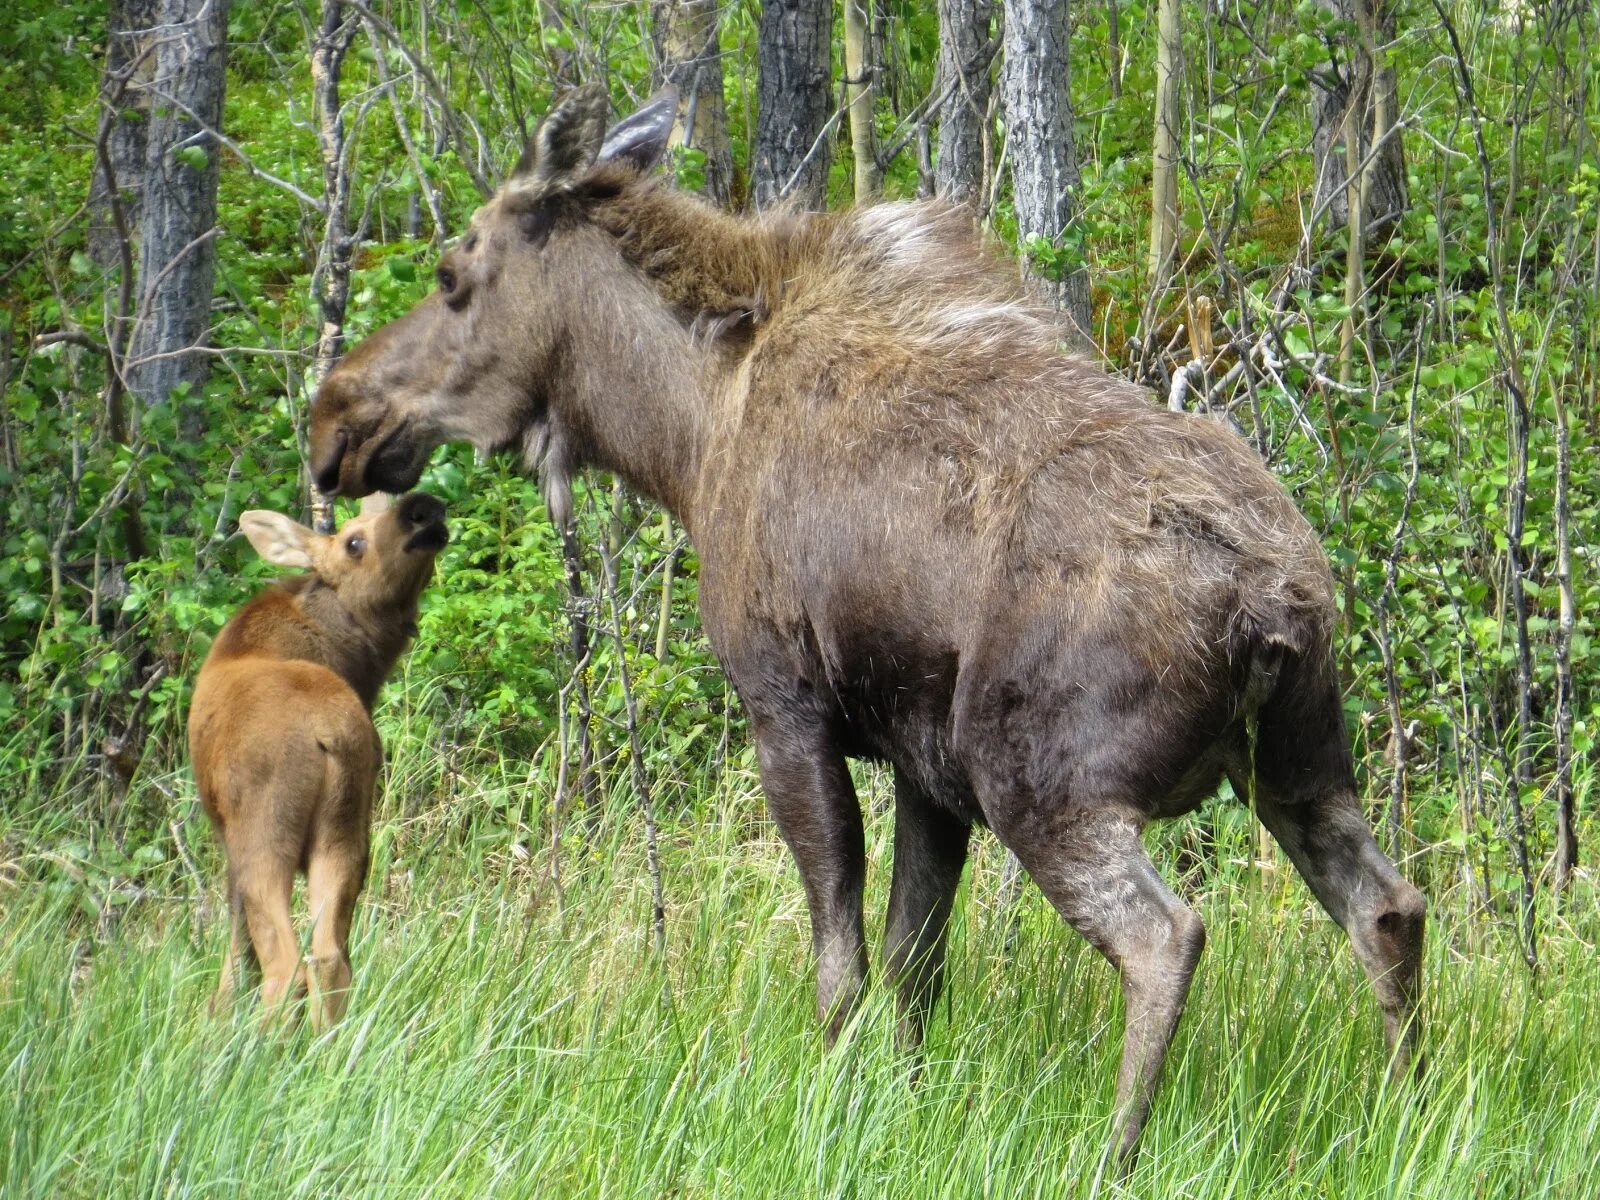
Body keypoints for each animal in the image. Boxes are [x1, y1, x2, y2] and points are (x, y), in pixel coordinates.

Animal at [191, 492, 448, 1030]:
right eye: (355, 541)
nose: (424, 506)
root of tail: (326, 734)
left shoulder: (226, 840)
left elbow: (236, 944)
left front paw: (218, 1015)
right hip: (346, 828)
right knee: (330, 956)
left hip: (263, 832)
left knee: (285, 963)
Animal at [308, 82, 1427, 1164]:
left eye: (454, 271)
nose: (335, 416)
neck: (684, 437)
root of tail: (1272, 607)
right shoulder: (926, 763)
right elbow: (913, 962)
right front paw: (905, 1106)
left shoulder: (786, 706)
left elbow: (839, 961)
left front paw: (834, 1109)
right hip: (1300, 762)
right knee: (1388, 907)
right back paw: (1398, 1116)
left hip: (1047, 779)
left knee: (1167, 936)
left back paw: (1117, 1156)